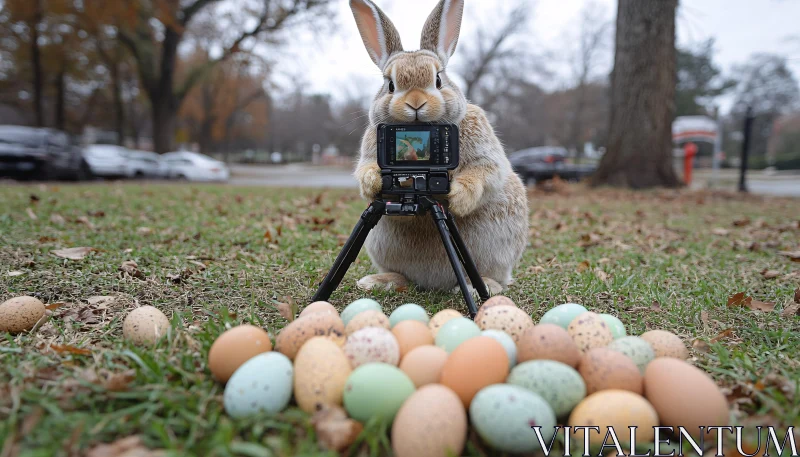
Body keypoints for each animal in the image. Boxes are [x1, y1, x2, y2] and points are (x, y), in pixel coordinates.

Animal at [348, 0, 524, 292]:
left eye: (438, 80)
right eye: (390, 85)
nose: (415, 102)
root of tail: (433, 282)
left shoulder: (486, 157)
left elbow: (484, 172)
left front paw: (459, 197)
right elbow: (366, 171)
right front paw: (373, 181)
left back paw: (481, 286)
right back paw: (379, 281)